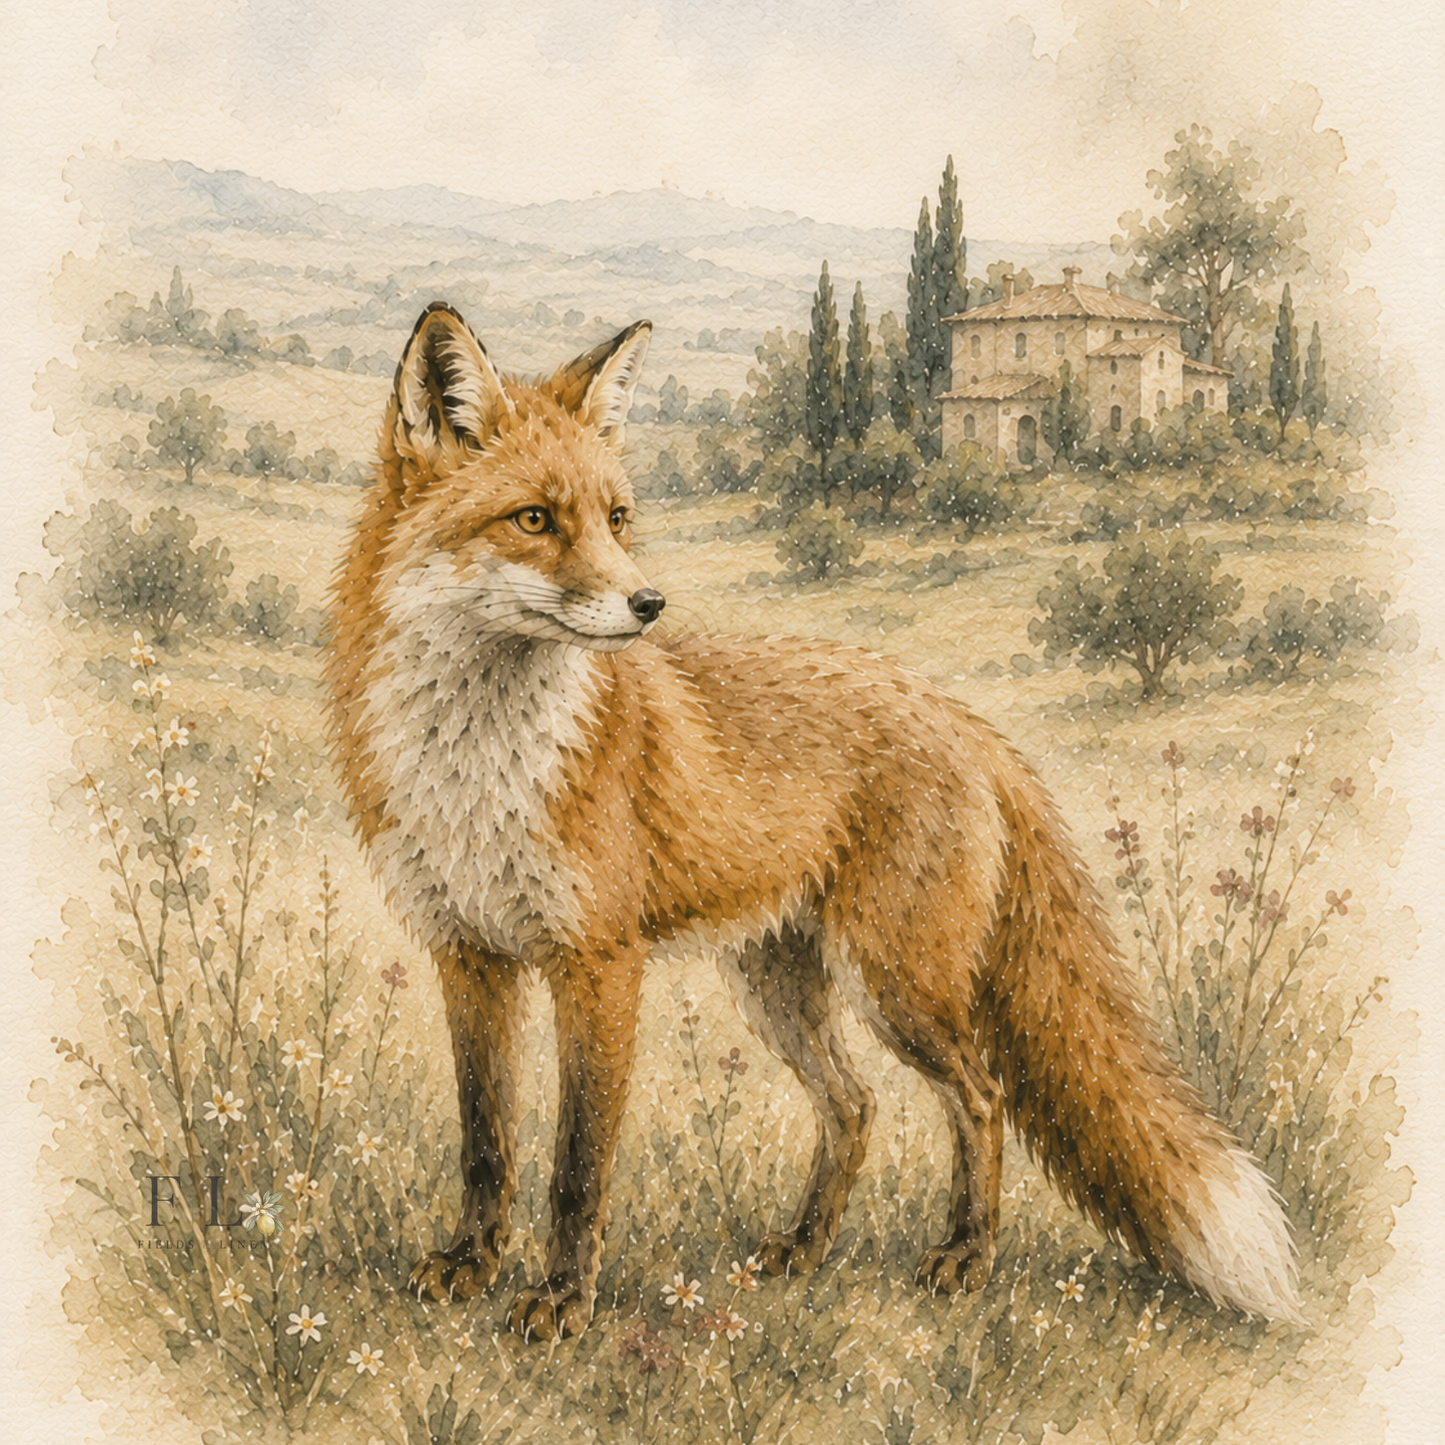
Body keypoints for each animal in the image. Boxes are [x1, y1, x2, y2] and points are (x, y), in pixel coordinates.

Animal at [325, 301, 1301, 1341]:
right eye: (535, 519)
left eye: (617, 518)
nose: (648, 603)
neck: (478, 764)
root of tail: (957, 714)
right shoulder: (468, 955)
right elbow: (486, 1144)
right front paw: (470, 1263)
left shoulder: (599, 961)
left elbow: (576, 1165)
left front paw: (560, 1300)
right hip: (779, 982)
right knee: (856, 1104)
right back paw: (804, 1248)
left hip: (898, 984)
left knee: (981, 1095)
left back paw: (965, 1255)